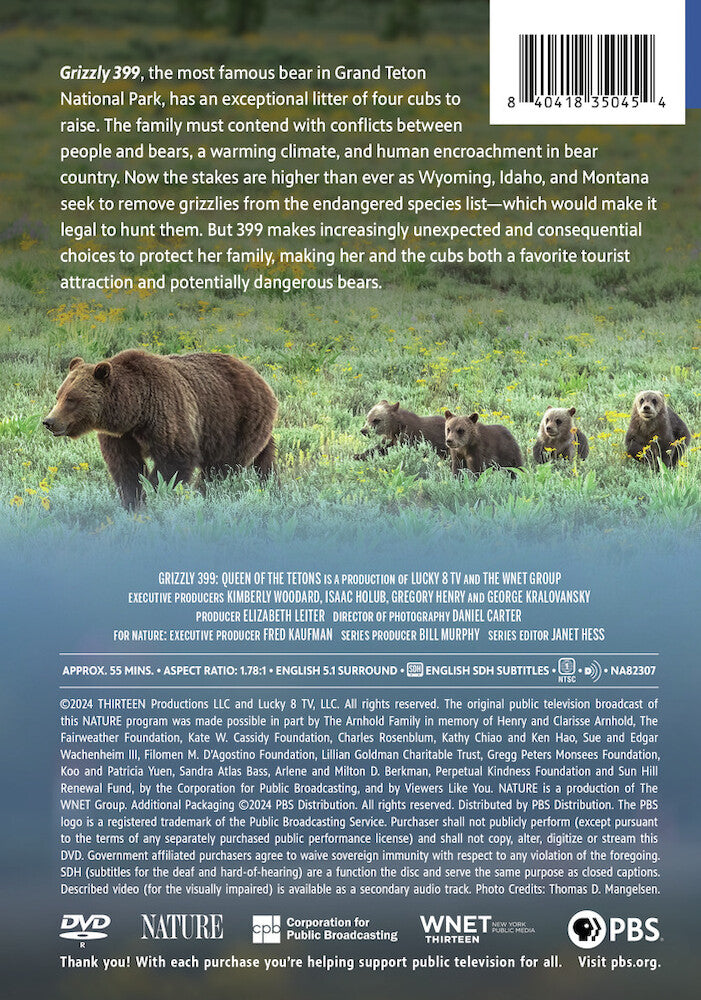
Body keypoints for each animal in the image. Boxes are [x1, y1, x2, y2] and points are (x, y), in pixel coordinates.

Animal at [43, 349, 278, 508]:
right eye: (58, 395)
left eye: (72, 399)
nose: (49, 421)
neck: (136, 410)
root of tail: (259, 377)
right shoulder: (121, 436)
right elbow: (125, 467)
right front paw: (133, 500)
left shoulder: (167, 414)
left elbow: (174, 460)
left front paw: (155, 492)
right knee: (265, 460)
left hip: (235, 422)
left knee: (222, 467)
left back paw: (205, 494)